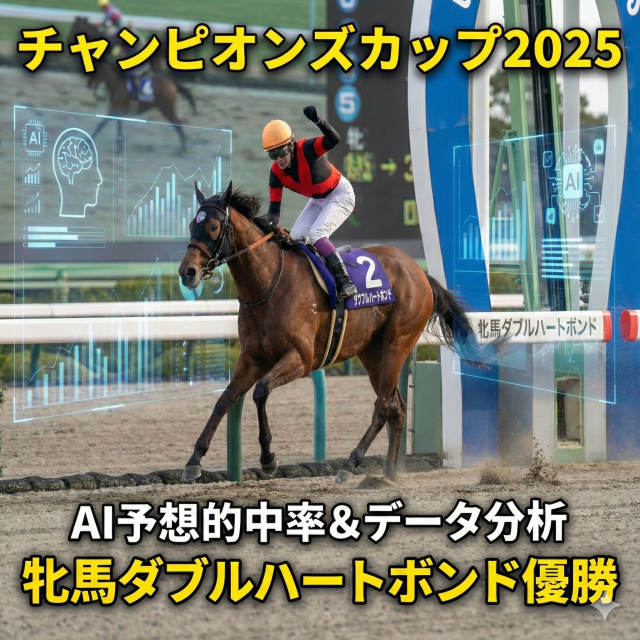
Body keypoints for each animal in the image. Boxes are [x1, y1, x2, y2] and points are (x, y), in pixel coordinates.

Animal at [67, 17, 197, 152]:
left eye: (75, 28)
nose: (89, 85)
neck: (115, 83)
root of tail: (172, 84)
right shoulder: (117, 110)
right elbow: (116, 125)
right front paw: (118, 146)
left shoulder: (115, 109)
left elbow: (101, 124)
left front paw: (86, 141)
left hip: (167, 108)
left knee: (178, 123)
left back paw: (183, 150)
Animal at [178, 182, 493, 484]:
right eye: (192, 224)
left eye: (213, 226)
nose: (186, 272)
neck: (269, 283)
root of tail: (420, 272)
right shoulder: (253, 358)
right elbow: (225, 399)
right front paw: (194, 461)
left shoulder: (301, 359)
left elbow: (260, 391)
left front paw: (268, 458)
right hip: (373, 353)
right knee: (397, 408)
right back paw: (389, 474)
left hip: (398, 342)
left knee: (382, 406)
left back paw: (349, 465)